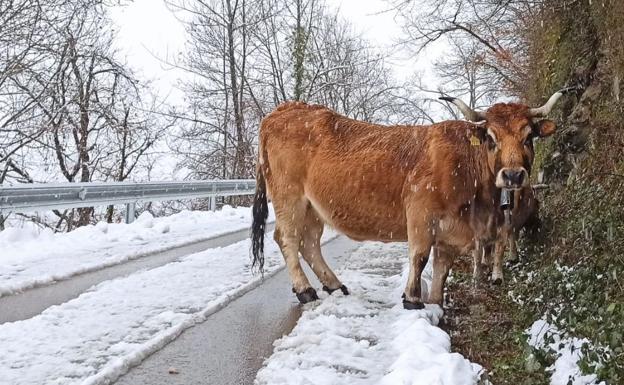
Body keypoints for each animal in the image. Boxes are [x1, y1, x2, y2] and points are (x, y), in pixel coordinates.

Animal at [251, 88, 572, 308]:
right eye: (491, 138)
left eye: (529, 137)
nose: (513, 175)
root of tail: (284, 109)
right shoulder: (420, 213)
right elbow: (419, 256)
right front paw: (412, 299)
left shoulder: (452, 231)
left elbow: (442, 268)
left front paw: (435, 302)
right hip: (289, 198)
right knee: (287, 239)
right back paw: (305, 290)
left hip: (313, 208)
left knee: (309, 243)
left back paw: (334, 285)